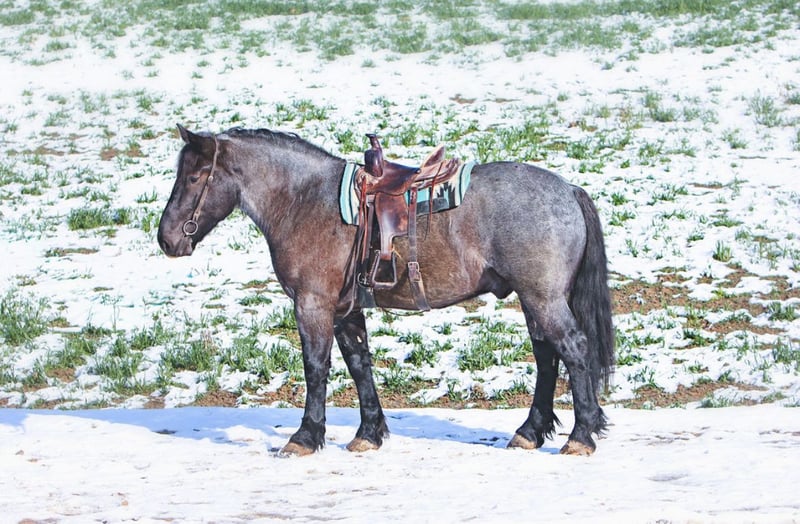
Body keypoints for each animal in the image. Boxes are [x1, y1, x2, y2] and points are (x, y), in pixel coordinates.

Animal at [157, 124, 615, 457]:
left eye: (195, 176)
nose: (167, 239)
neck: (304, 201)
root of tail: (569, 191)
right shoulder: (345, 310)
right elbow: (360, 364)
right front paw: (369, 433)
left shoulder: (313, 305)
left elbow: (315, 368)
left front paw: (305, 437)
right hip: (534, 301)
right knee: (547, 358)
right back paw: (530, 432)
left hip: (543, 299)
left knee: (573, 351)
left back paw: (581, 436)